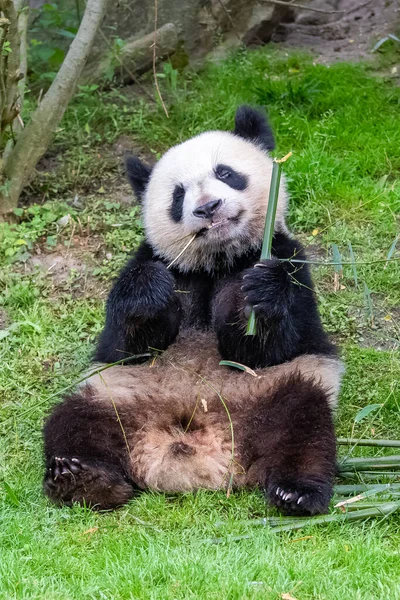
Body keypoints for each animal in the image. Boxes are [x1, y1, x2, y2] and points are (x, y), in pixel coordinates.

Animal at [43, 106, 344, 516]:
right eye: (178, 194)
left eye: (226, 173)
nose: (208, 208)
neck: (215, 261)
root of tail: (201, 459)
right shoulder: (163, 265)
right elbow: (126, 344)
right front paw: (148, 289)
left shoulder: (288, 259)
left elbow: (266, 346)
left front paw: (259, 293)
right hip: (113, 396)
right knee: (73, 422)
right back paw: (83, 479)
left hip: (279, 388)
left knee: (305, 426)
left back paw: (296, 491)